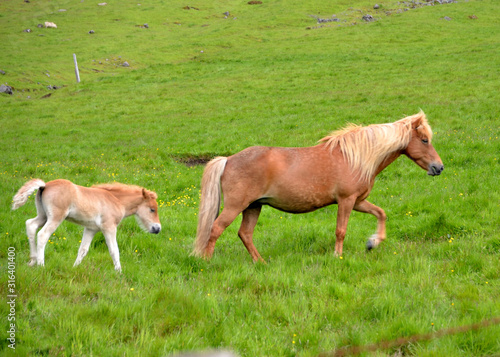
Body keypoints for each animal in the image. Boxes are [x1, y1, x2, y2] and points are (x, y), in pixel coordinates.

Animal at [11, 179, 161, 272]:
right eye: (152, 209)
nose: (157, 228)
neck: (116, 200)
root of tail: (44, 185)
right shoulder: (109, 227)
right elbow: (114, 251)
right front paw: (119, 272)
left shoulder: (90, 229)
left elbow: (83, 250)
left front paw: (74, 268)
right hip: (56, 217)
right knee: (42, 235)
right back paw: (41, 265)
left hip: (43, 216)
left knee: (30, 225)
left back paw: (32, 261)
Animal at [193, 111, 444, 262]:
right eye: (424, 140)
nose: (439, 167)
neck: (356, 158)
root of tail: (228, 159)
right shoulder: (346, 201)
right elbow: (341, 230)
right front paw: (337, 256)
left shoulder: (358, 201)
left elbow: (381, 213)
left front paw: (373, 242)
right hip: (236, 206)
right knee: (216, 229)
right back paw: (206, 261)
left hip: (254, 206)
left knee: (245, 234)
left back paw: (261, 262)